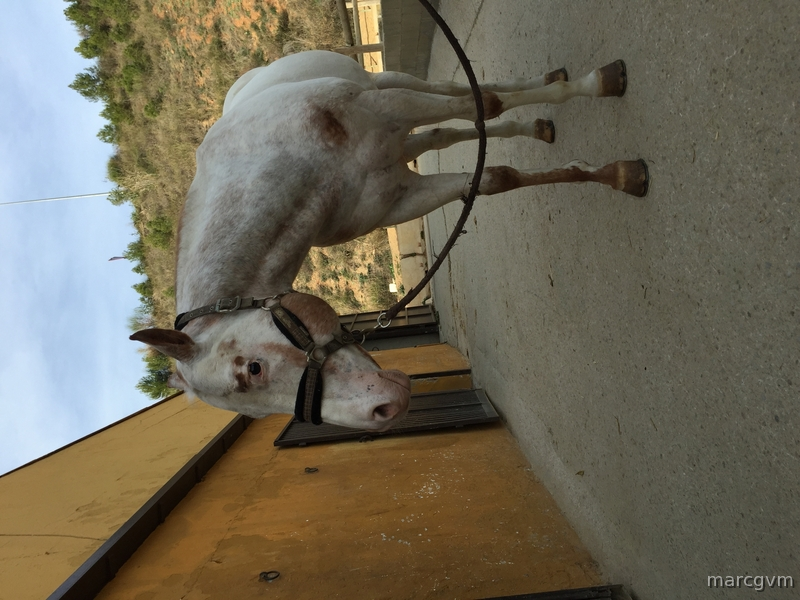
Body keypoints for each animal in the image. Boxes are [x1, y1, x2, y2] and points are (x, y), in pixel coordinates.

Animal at [131, 50, 648, 431]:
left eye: (251, 370)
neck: (285, 159)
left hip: (387, 85)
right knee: (440, 135)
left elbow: (488, 104)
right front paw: (614, 173)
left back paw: (565, 90)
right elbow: (495, 177)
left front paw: (615, 152)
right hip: (400, 140)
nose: (383, 410)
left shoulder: (388, 106)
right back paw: (538, 127)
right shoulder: (396, 198)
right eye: (253, 414)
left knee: (459, 93)